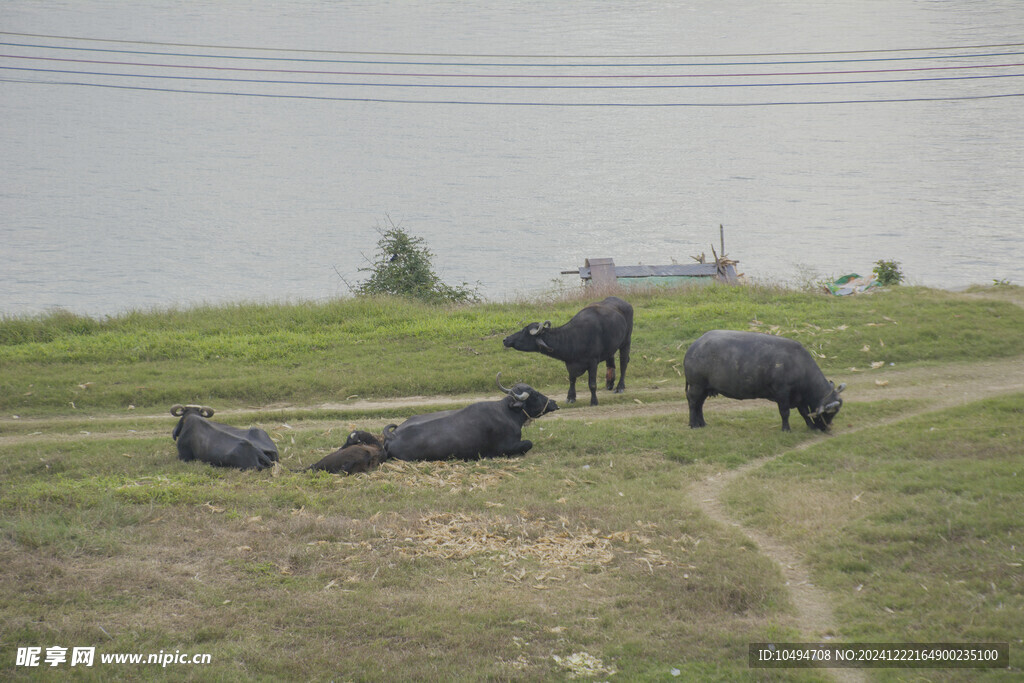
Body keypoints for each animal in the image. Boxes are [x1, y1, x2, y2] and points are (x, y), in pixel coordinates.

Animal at [385, 374, 561, 464]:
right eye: (535, 394)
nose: (554, 403)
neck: (507, 413)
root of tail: (392, 436)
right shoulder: (506, 447)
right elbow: (528, 444)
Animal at [501, 294, 630, 405]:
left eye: (524, 332)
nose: (505, 339)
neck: (574, 338)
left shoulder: (593, 362)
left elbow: (592, 384)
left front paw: (594, 401)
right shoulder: (570, 364)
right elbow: (572, 380)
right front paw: (570, 397)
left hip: (626, 341)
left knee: (623, 362)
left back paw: (620, 387)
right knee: (611, 361)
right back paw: (610, 383)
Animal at [684, 327, 843, 430]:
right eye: (830, 413)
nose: (825, 428)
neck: (798, 364)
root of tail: (693, 347)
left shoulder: (799, 396)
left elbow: (803, 412)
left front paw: (811, 426)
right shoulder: (782, 393)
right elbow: (785, 412)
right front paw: (786, 429)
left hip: (705, 388)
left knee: (700, 405)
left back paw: (702, 423)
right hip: (696, 386)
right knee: (693, 403)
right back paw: (693, 425)